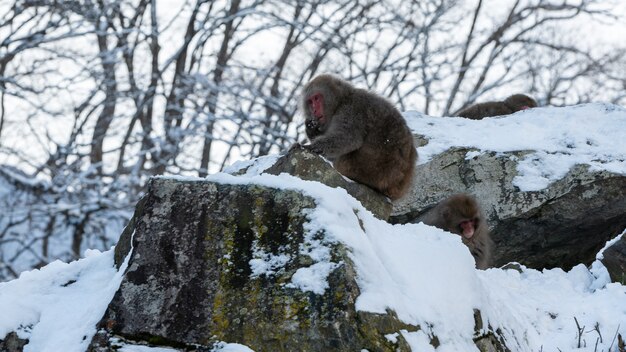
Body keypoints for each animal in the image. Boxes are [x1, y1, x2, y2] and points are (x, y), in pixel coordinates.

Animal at [300, 73, 416, 201]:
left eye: (317, 98)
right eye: (310, 101)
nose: (314, 110)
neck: (341, 101)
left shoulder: (352, 110)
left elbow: (349, 139)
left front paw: (311, 146)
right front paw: (311, 129)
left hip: (370, 170)